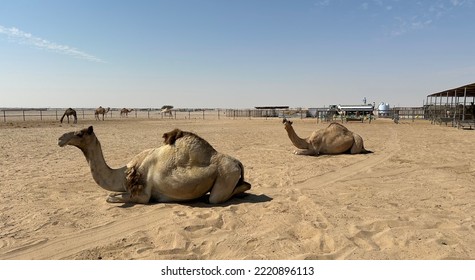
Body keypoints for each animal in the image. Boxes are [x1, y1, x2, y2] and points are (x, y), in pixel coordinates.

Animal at [57, 127, 251, 203]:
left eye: (80, 133)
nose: (60, 138)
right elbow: (110, 195)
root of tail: (238, 163)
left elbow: (110, 197)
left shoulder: (142, 195)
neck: (123, 173)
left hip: (225, 178)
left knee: (216, 197)